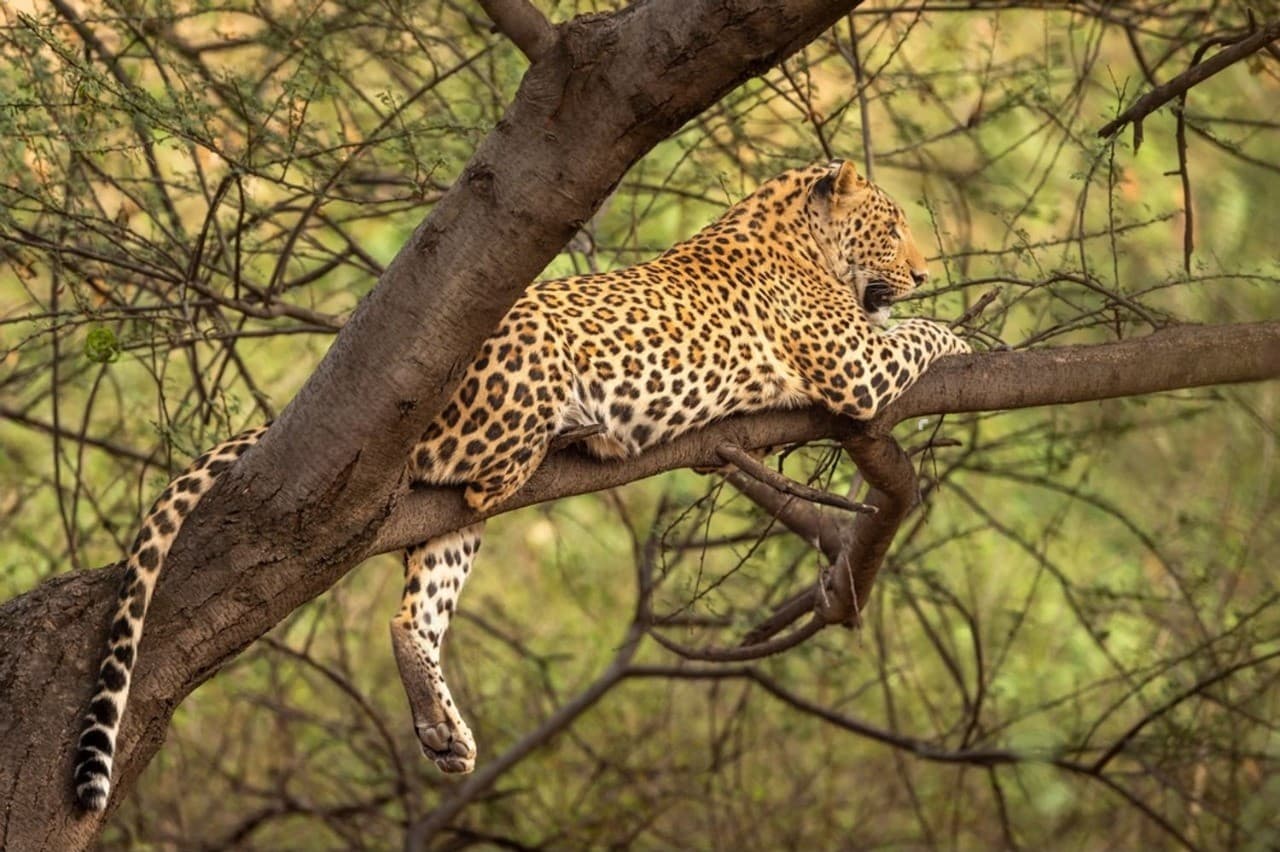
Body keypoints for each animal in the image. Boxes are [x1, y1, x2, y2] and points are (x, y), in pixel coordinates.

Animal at [72, 161, 967, 808]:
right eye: (894, 227)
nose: (925, 272)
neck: (794, 233)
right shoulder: (853, 365)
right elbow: (920, 336)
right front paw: (962, 332)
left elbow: (907, 329)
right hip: (525, 370)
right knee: (481, 483)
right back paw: (579, 430)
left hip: (445, 535)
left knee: (412, 613)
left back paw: (443, 732)